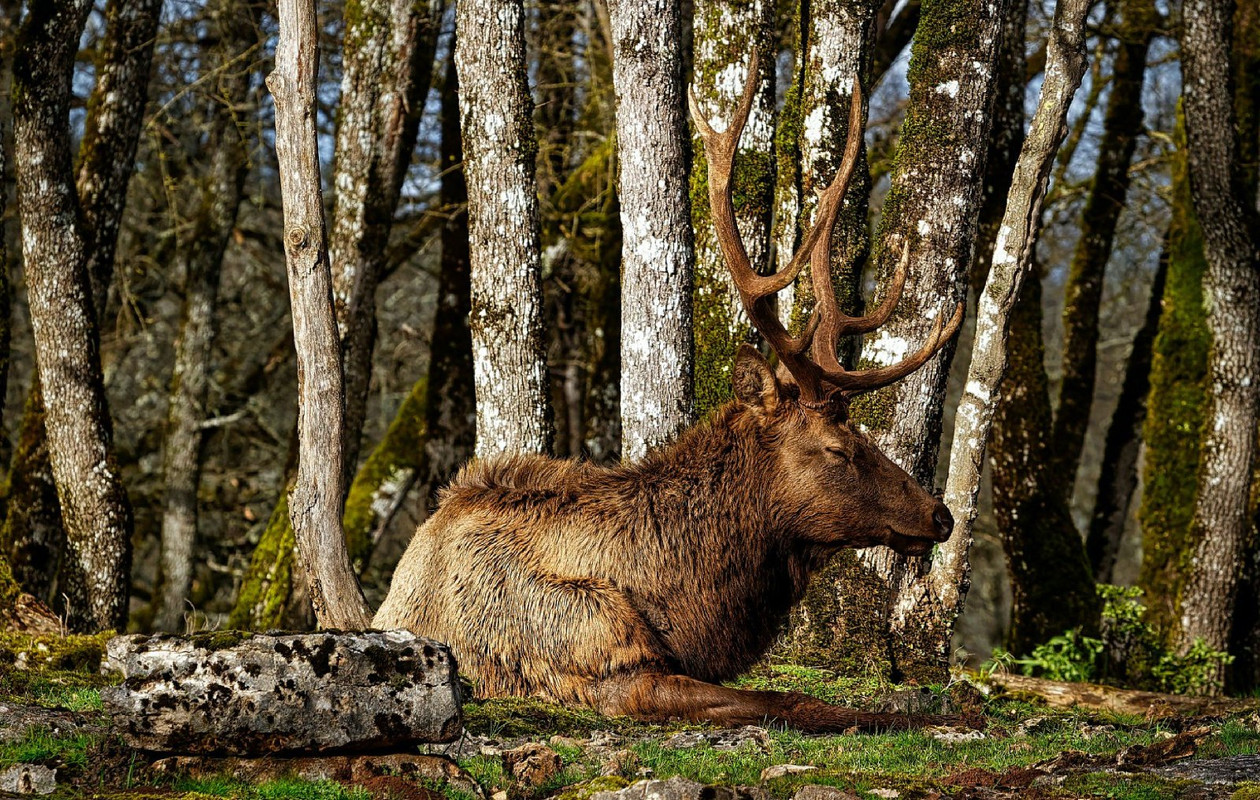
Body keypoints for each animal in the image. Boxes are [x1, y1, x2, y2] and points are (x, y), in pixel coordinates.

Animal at [374, 54, 966, 733]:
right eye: (838, 449)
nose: (940, 514)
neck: (684, 611)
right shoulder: (608, 668)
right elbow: (792, 698)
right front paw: (909, 716)